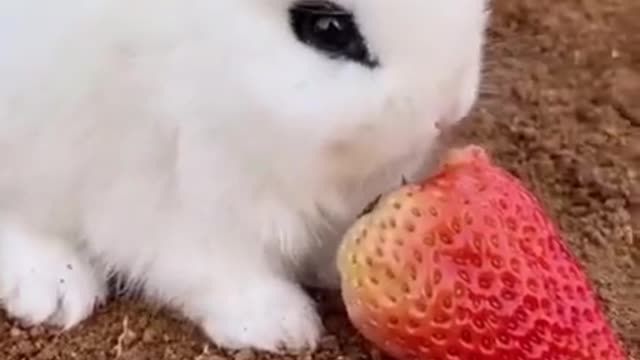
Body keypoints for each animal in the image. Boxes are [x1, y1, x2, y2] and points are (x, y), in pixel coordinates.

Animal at [0, 0, 488, 354]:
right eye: (328, 29)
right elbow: (208, 265)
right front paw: (280, 326)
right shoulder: (164, 189)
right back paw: (52, 289)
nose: (450, 108)